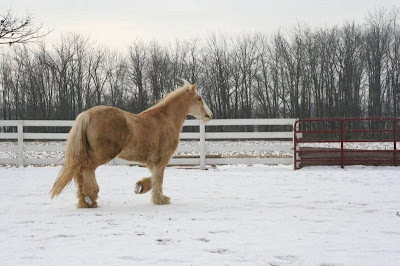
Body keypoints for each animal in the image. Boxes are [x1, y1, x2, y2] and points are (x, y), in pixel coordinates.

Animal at [50, 79, 212, 208]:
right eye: (199, 98)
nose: (209, 115)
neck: (165, 120)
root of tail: (86, 115)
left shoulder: (152, 161)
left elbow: (153, 178)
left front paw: (140, 187)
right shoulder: (162, 159)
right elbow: (159, 178)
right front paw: (160, 199)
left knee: (79, 172)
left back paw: (84, 201)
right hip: (103, 155)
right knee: (86, 169)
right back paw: (91, 197)